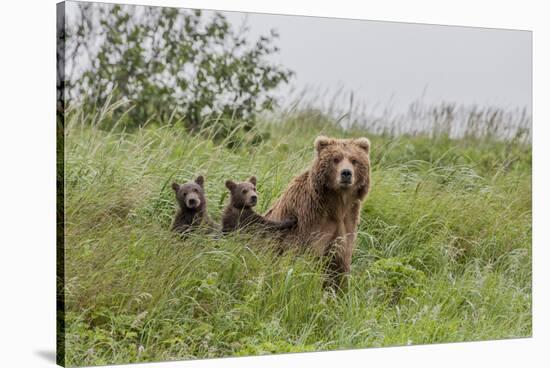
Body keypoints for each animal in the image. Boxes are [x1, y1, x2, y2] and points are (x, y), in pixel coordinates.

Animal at [266, 137, 374, 286]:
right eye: (336, 159)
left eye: (354, 160)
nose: (346, 173)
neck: (338, 204)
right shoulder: (311, 221)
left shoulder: (347, 222)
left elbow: (340, 266)